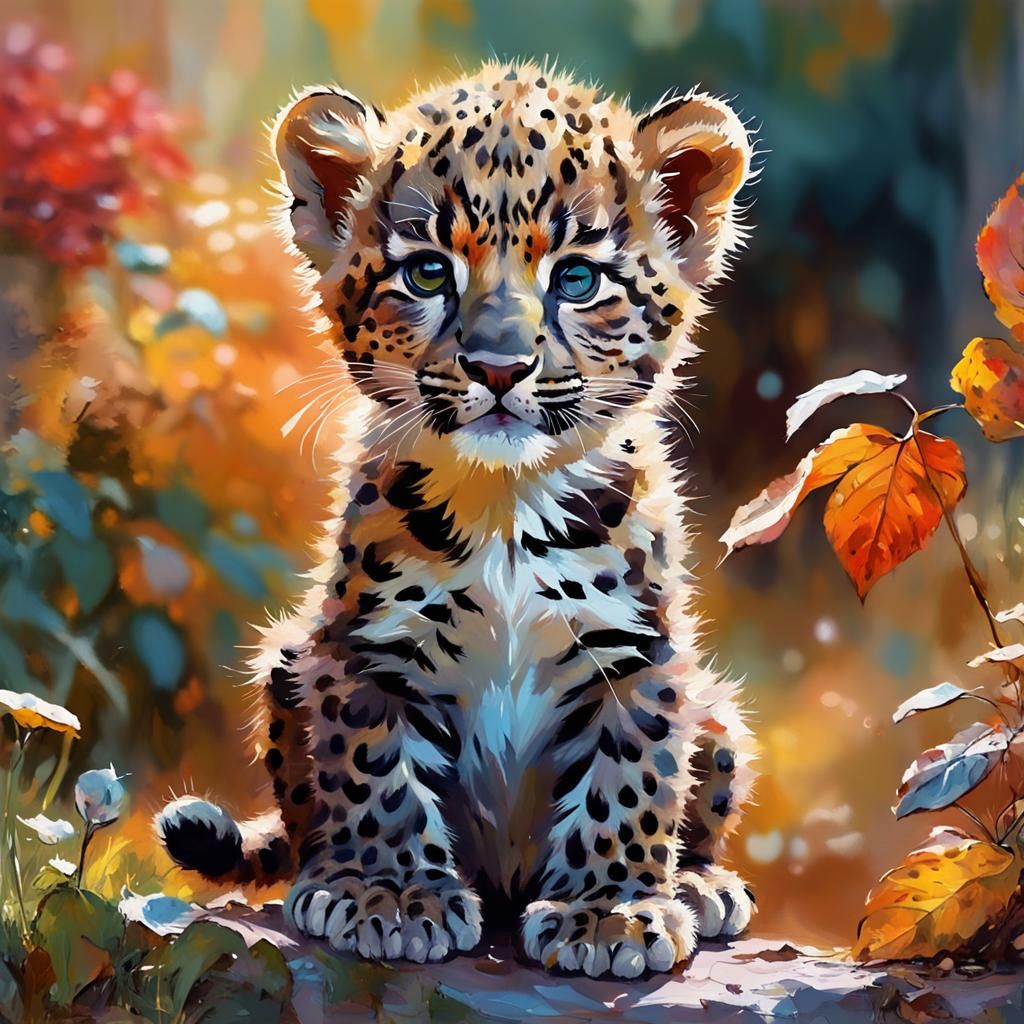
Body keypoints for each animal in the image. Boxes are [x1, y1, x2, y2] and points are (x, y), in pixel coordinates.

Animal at [155, 60, 758, 979]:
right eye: (429, 274)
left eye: (577, 280)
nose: (499, 367)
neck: (505, 506)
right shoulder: (363, 652)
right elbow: (374, 777)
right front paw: (392, 896)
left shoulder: (636, 653)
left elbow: (632, 776)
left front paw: (610, 912)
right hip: (289, 660)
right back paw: (322, 880)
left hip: (716, 711)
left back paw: (698, 884)